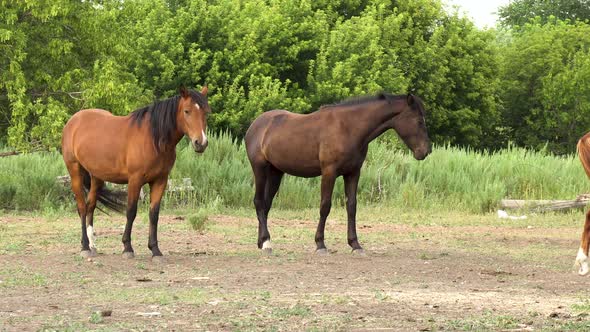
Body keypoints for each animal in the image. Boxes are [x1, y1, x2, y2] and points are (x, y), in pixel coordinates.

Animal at [61, 85, 210, 260]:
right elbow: (131, 211)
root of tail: (73, 121)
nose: (201, 143)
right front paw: (127, 248)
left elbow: (154, 214)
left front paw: (155, 250)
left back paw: (92, 246)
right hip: (75, 171)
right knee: (82, 208)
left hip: (96, 176)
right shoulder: (135, 180)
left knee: (91, 206)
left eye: (206, 112)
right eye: (187, 111)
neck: (153, 138)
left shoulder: (160, 180)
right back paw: (84, 246)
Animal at [243, 92, 432, 253]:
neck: (349, 128)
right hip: (260, 169)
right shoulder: (329, 172)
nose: (426, 151)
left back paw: (262, 241)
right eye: (419, 121)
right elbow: (325, 206)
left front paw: (355, 244)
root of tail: (256, 125)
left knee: (266, 205)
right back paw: (266, 242)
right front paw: (320, 244)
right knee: (259, 202)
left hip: (276, 172)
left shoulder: (353, 173)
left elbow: (352, 206)